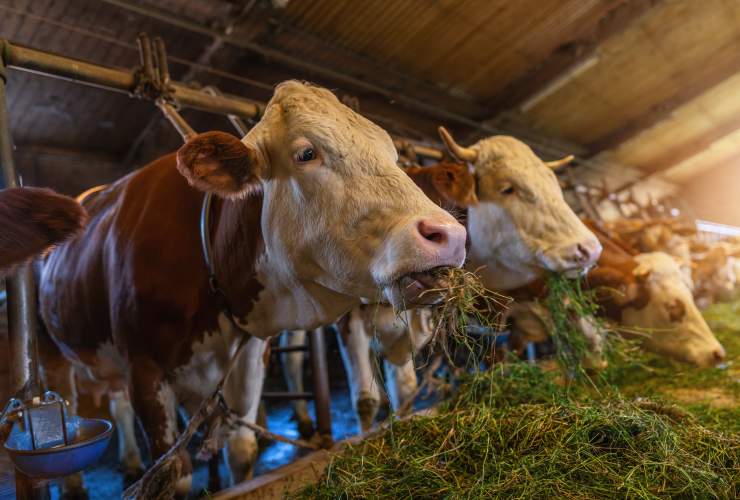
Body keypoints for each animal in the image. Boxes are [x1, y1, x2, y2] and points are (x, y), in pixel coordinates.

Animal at [37, 82, 466, 496]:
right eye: (306, 153)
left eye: (392, 156)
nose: (449, 235)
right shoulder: (144, 371)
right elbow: (173, 474)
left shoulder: (249, 354)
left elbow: (241, 451)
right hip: (53, 354)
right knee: (64, 417)